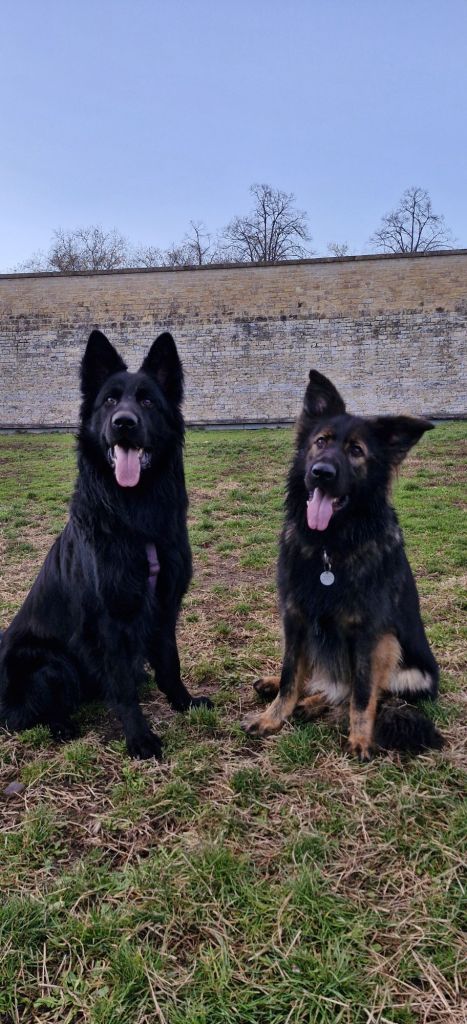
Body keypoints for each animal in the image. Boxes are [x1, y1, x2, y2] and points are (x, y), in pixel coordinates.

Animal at [0, 330, 211, 758]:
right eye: (110, 401)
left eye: (147, 401)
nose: (124, 423)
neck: (135, 515)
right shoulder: (108, 621)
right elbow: (123, 687)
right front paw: (140, 738)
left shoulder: (164, 606)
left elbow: (170, 663)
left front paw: (183, 702)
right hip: (52, 662)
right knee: (27, 715)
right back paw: (62, 726)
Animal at [242, 369, 443, 760]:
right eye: (321, 442)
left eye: (356, 451)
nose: (321, 473)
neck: (330, 548)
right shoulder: (295, 618)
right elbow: (291, 674)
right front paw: (273, 716)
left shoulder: (369, 632)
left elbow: (363, 693)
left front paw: (360, 739)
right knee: (314, 677)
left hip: (400, 656)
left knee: (359, 691)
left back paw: (315, 704)